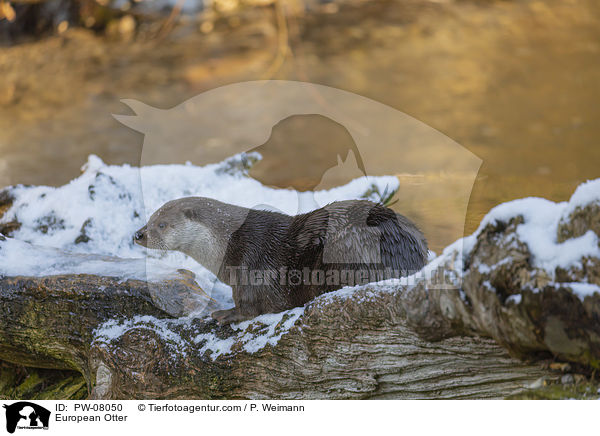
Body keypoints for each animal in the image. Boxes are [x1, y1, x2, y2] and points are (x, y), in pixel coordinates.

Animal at [135, 198, 426, 324]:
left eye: (161, 224)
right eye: (149, 219)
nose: (138, 234)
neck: (227, 240)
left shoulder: (250, 263)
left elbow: (250, 305)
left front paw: (226, 314)